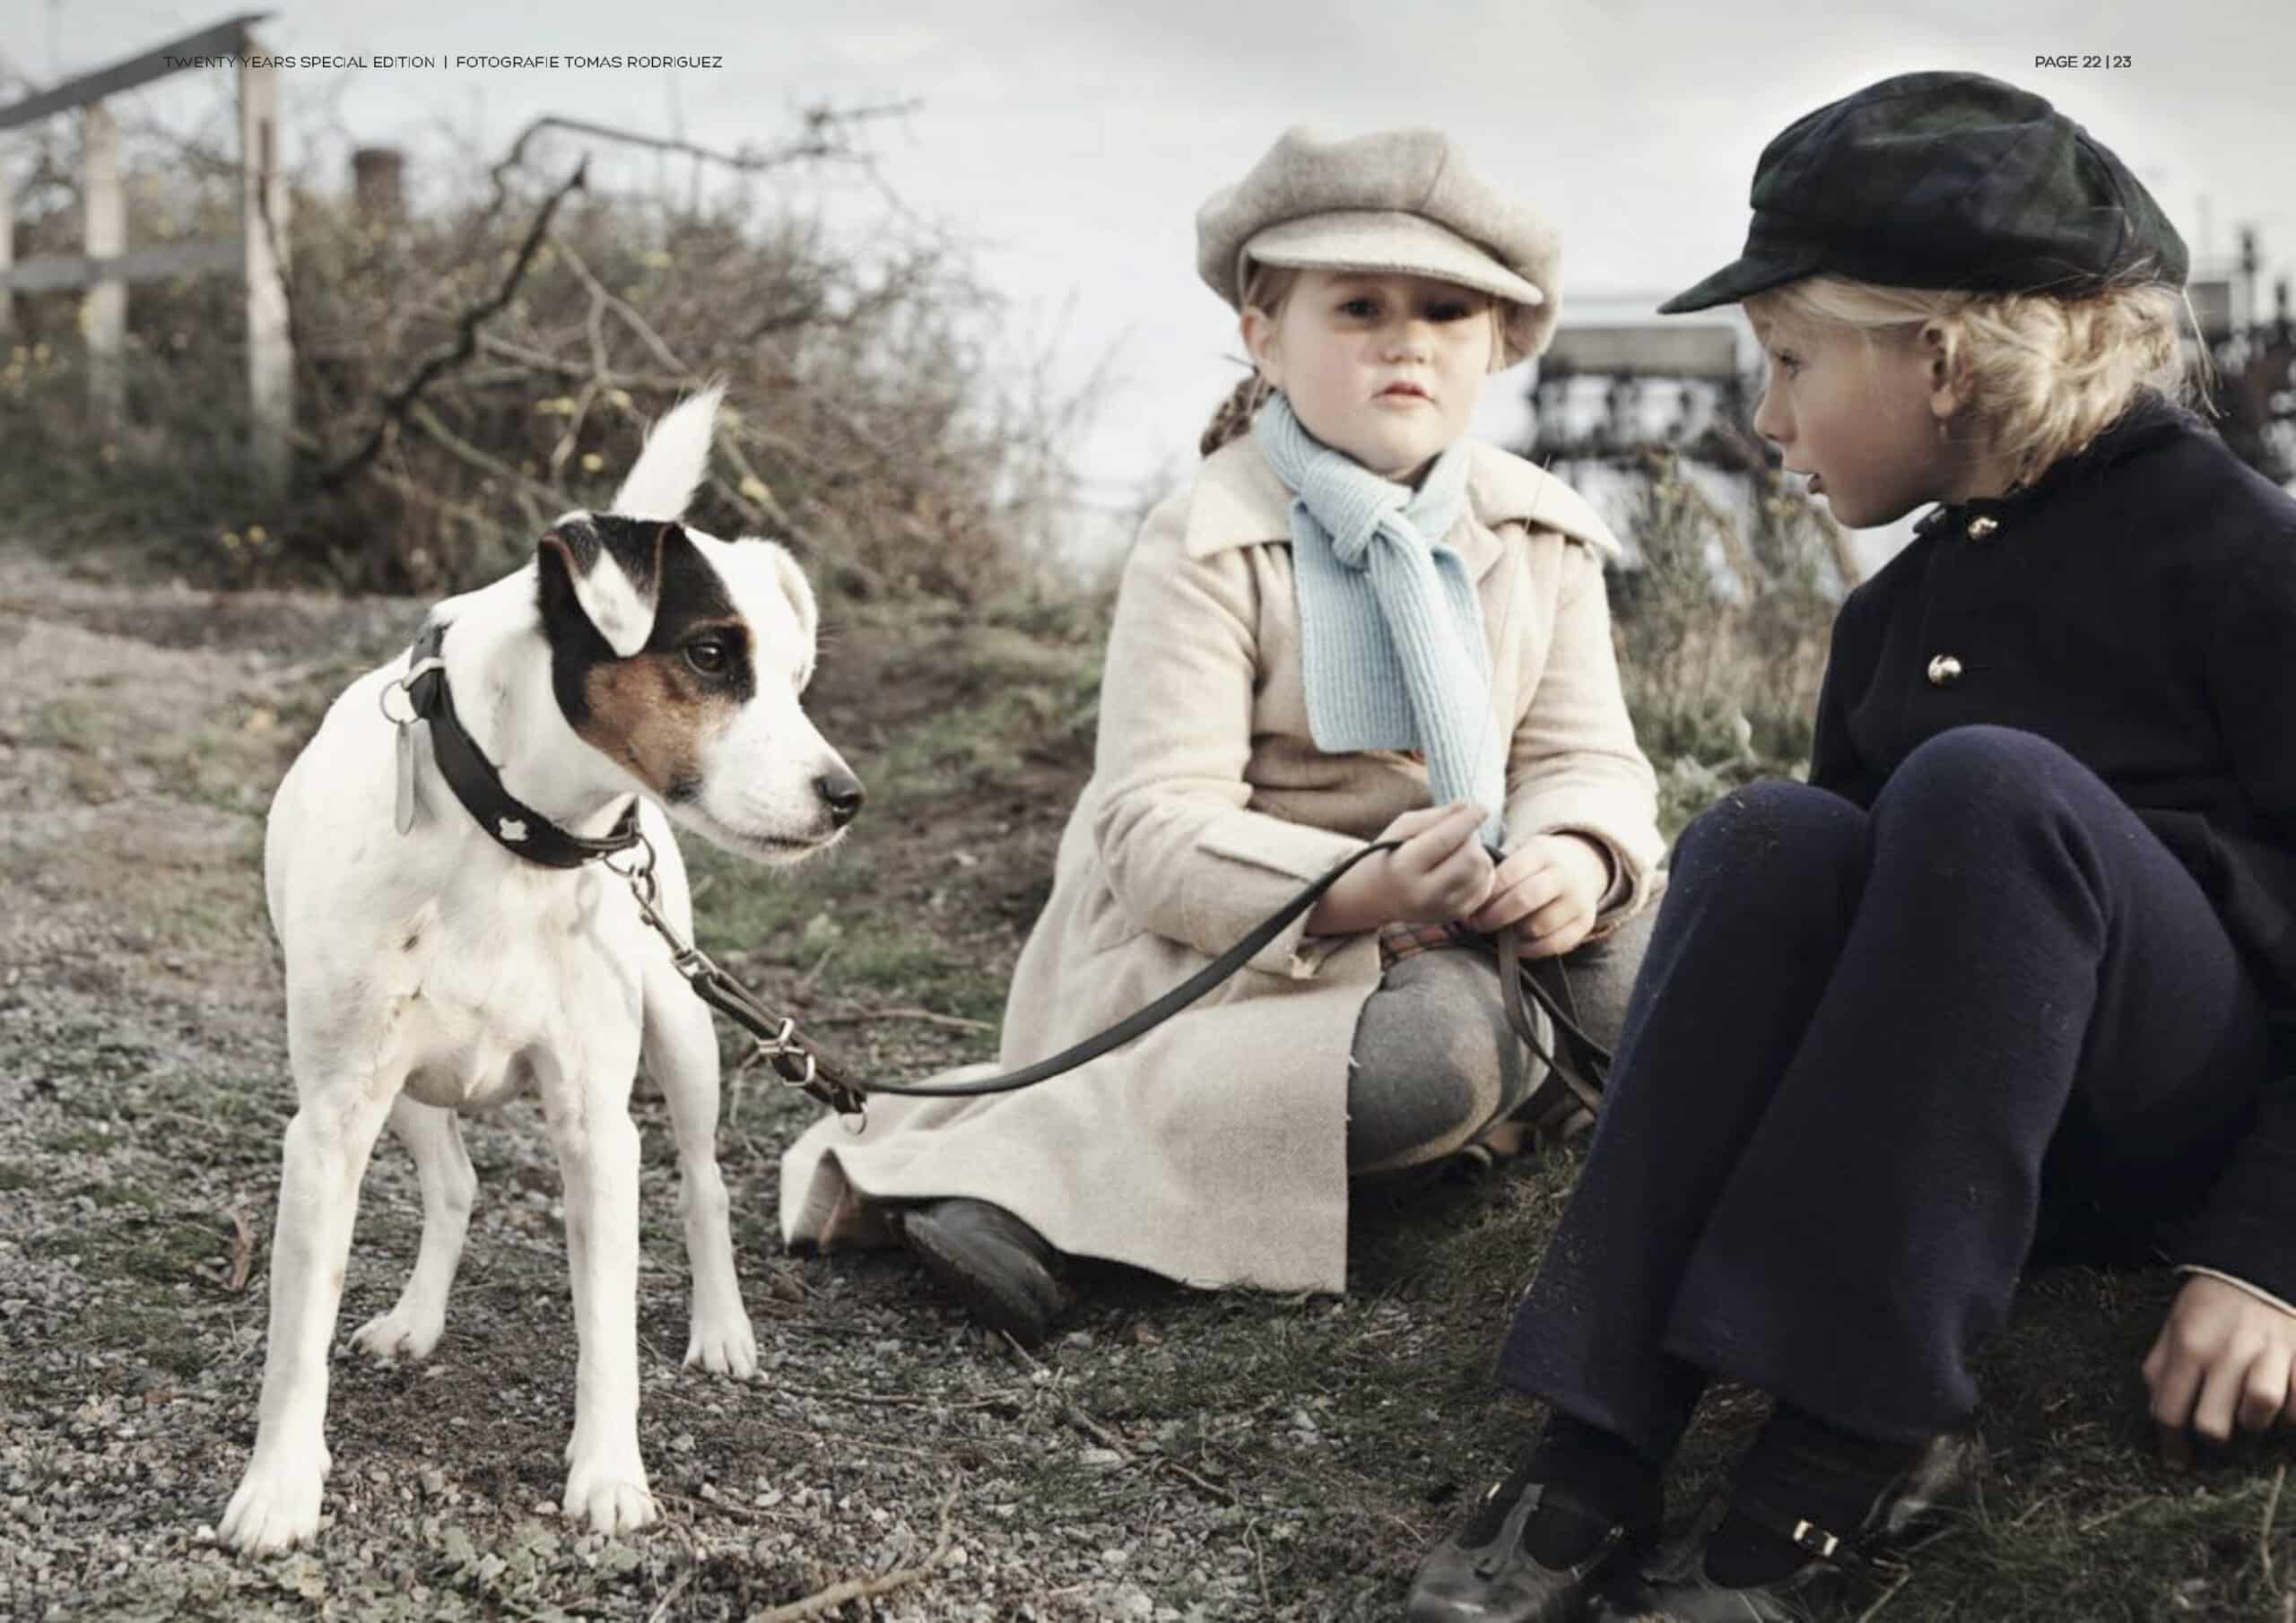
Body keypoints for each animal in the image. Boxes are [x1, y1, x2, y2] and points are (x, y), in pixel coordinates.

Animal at [219, 387, 863, 1551]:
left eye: (797, 682)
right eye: (711, 655)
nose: (845, 797)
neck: (516, 834)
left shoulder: (595, 1125)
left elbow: (607, 1324)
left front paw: (609, 1476)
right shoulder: (330, 1120)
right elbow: (297, 1331)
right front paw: (279, 1486)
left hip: (685, 1032)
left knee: (703, 1183)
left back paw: (722, 1329)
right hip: (403, 1085)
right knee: (456, 1183)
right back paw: (416, 1319)